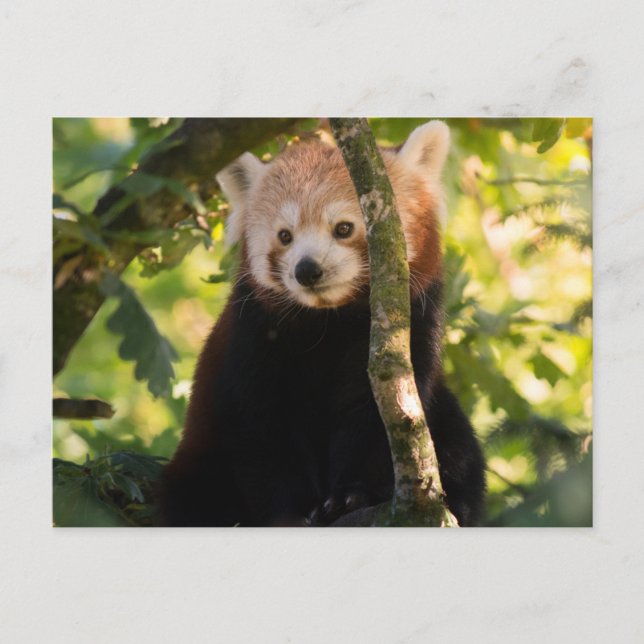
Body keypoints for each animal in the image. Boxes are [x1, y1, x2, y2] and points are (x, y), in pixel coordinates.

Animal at [158, 121, 485, 527]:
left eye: (343, 228)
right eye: (285, 236)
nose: (307, 269)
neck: (330, 320)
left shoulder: (409, 329)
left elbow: (373, 420)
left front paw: (350, 497)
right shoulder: (254, 338)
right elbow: (263, 427)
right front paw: (294, 511)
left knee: (460, 451)